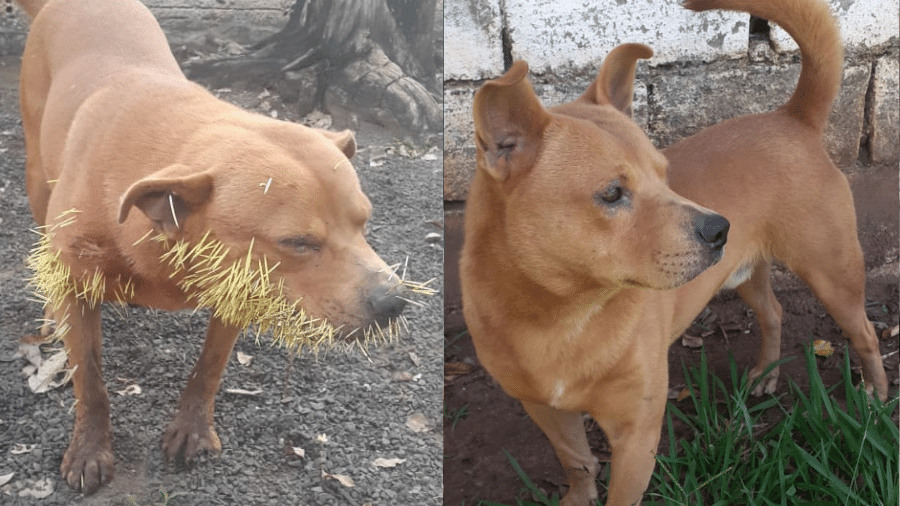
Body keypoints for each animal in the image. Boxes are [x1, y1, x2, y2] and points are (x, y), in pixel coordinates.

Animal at [14, 0, 414, 496]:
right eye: (298, 242)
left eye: (364, 221)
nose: (394, 300)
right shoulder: (76, 283)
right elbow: (89, 379)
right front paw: (90, 448)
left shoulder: (240, 287)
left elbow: (209, 367)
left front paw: (192, 428)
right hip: (36, 177)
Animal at [460, 0, 888, 504]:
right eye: (612, 193)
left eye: (665, 176)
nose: (720, 228)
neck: (563, 315)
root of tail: (793, 117)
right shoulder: (544, 409)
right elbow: (578, 462)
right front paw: (578, 494)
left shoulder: (637, 436)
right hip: (745, 274)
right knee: (774, 312)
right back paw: (767, 373)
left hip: (833, 274)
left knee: (866, 334)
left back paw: (876, 400)